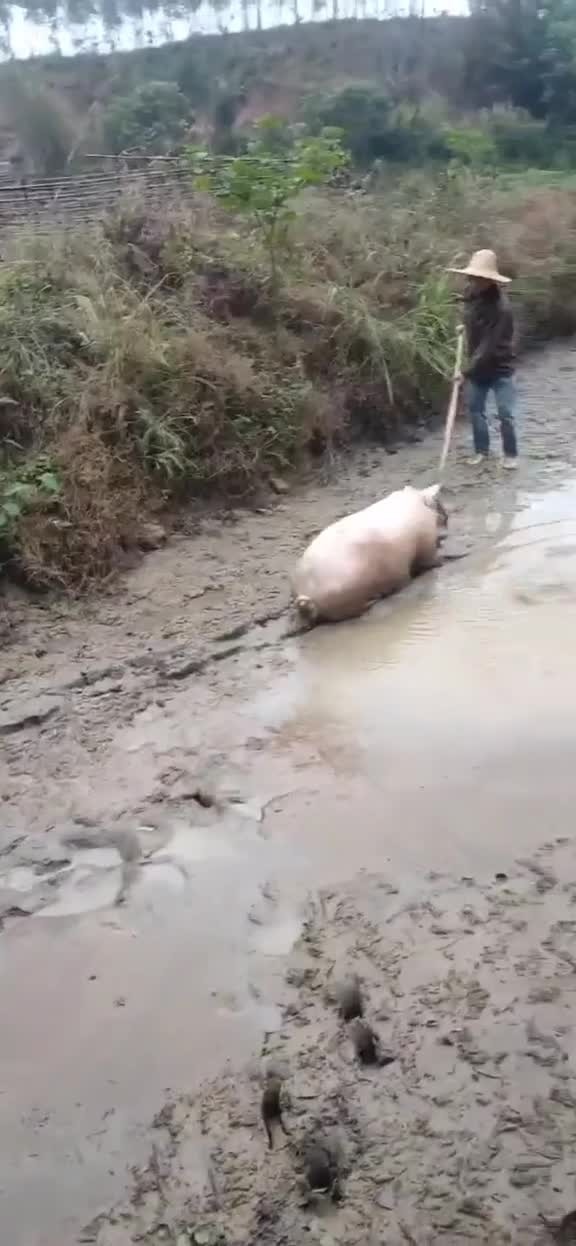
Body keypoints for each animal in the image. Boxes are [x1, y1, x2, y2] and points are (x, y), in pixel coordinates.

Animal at [294, 483, 448, 627]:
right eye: (438, 504)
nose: (447, 517)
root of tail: (308, 594)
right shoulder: (427, 542)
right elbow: (430, 559)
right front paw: (441, 561)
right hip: (351, 596)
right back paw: (374, 601)